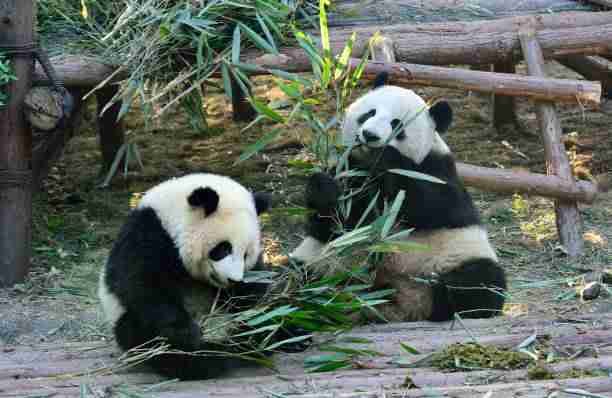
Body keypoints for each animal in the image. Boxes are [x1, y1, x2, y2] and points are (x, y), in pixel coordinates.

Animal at [100, 173, 306, 380]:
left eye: (246, 254)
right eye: (223, 249)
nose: (233, 280)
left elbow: (255, 293)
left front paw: (255, 320)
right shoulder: (147, 234)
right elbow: (142, 286)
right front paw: (187, 335)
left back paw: (285, 336)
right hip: (126, 321)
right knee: (146, 338)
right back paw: (207, 358)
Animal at [290, 73, 506, 324]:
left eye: (397, 124)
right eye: (369, 113)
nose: (370, 135)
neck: (369, 166)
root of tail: (404, 305)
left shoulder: (437, 170)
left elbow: (435, 206)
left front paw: (388, 157)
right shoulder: (350, 169)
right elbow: (332, 225)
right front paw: (324, 188)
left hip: (453, 257)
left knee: (479, 284)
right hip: (320, 263)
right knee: (295, 282)